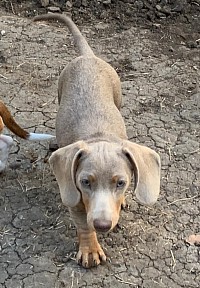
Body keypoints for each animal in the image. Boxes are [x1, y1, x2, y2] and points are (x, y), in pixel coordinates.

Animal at [33, 14, 161, 268]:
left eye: (121, 183)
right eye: (85, 182)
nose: (103, 225)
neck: (98, 137)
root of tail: (88, 56)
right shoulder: (73, 194)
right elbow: (83, 223)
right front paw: (90, 249)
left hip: (118, 95)